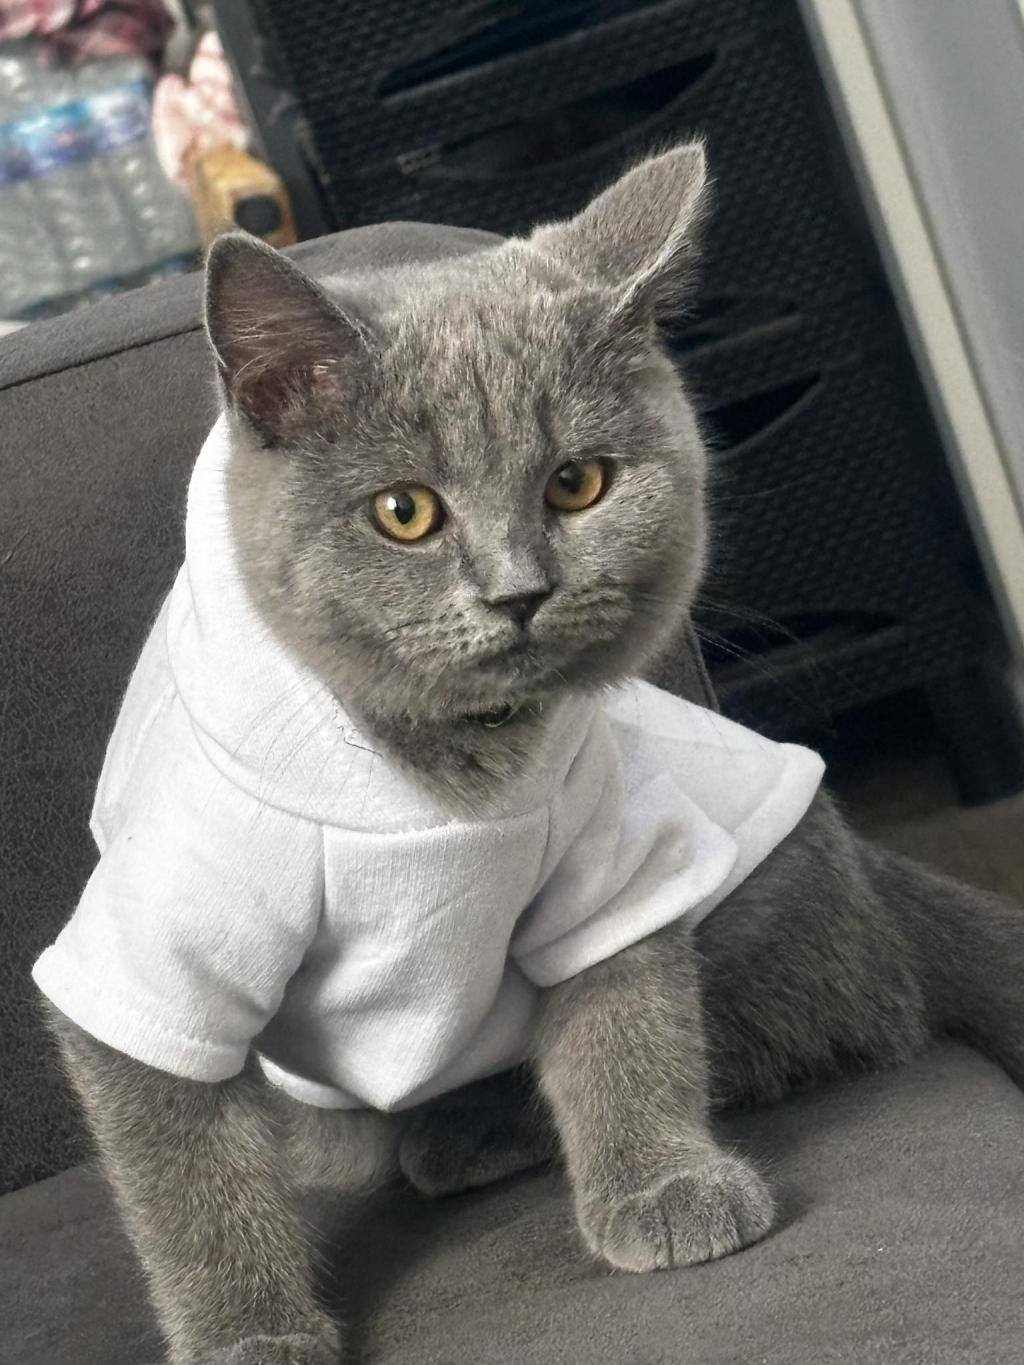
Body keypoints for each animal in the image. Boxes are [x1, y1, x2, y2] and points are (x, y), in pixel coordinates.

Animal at [40, 145, 1023, 1365]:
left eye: (577, 483)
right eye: (404, 512)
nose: (519, 593)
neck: (448, 771)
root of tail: (871, 869)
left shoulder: (613, 862)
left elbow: (626, 1016)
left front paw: (659, 1185)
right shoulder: (158, 952)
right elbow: (182, 1163)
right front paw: (246, 1334)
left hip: (767, 899)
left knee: (825, 1017)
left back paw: (470, 1131)